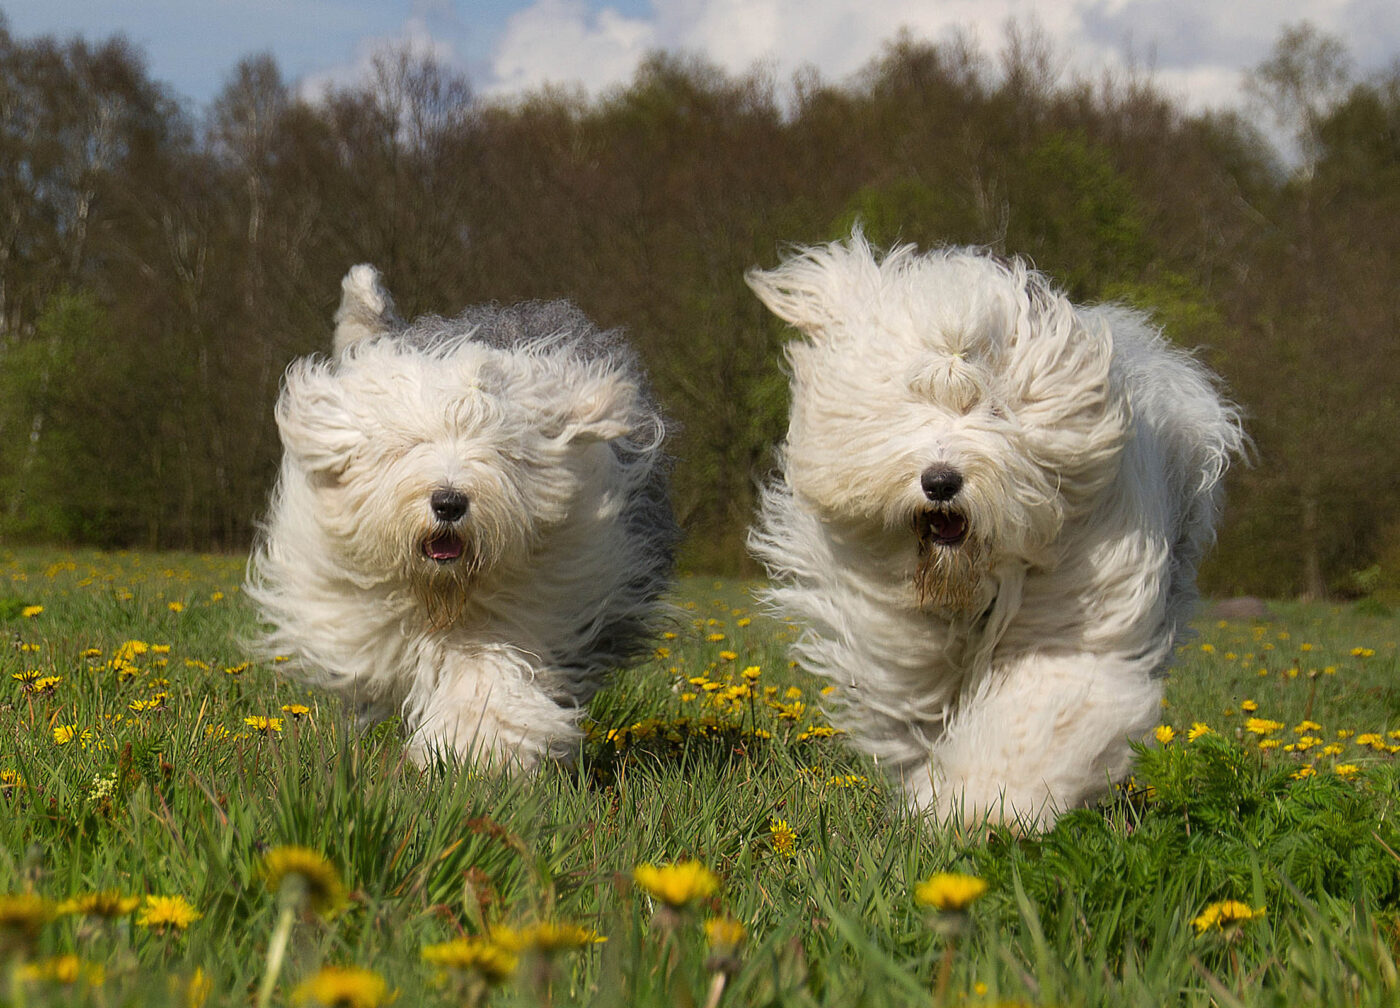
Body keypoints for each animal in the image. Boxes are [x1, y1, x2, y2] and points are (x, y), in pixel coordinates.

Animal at [247, 263, 677, 767]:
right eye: (411, 444)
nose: (449, 502)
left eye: (502, 451)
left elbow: (487, 675)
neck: (444, 592)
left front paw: (479, 753)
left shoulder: (535, 606)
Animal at [750, 233, 1243, 828]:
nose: (941, 481)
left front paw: (990, 804)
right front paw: (940, 795)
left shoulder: (1071, 618)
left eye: (993, 407)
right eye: (912, 403)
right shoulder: (895, 637)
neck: (966, 578)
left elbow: (1039, 707)